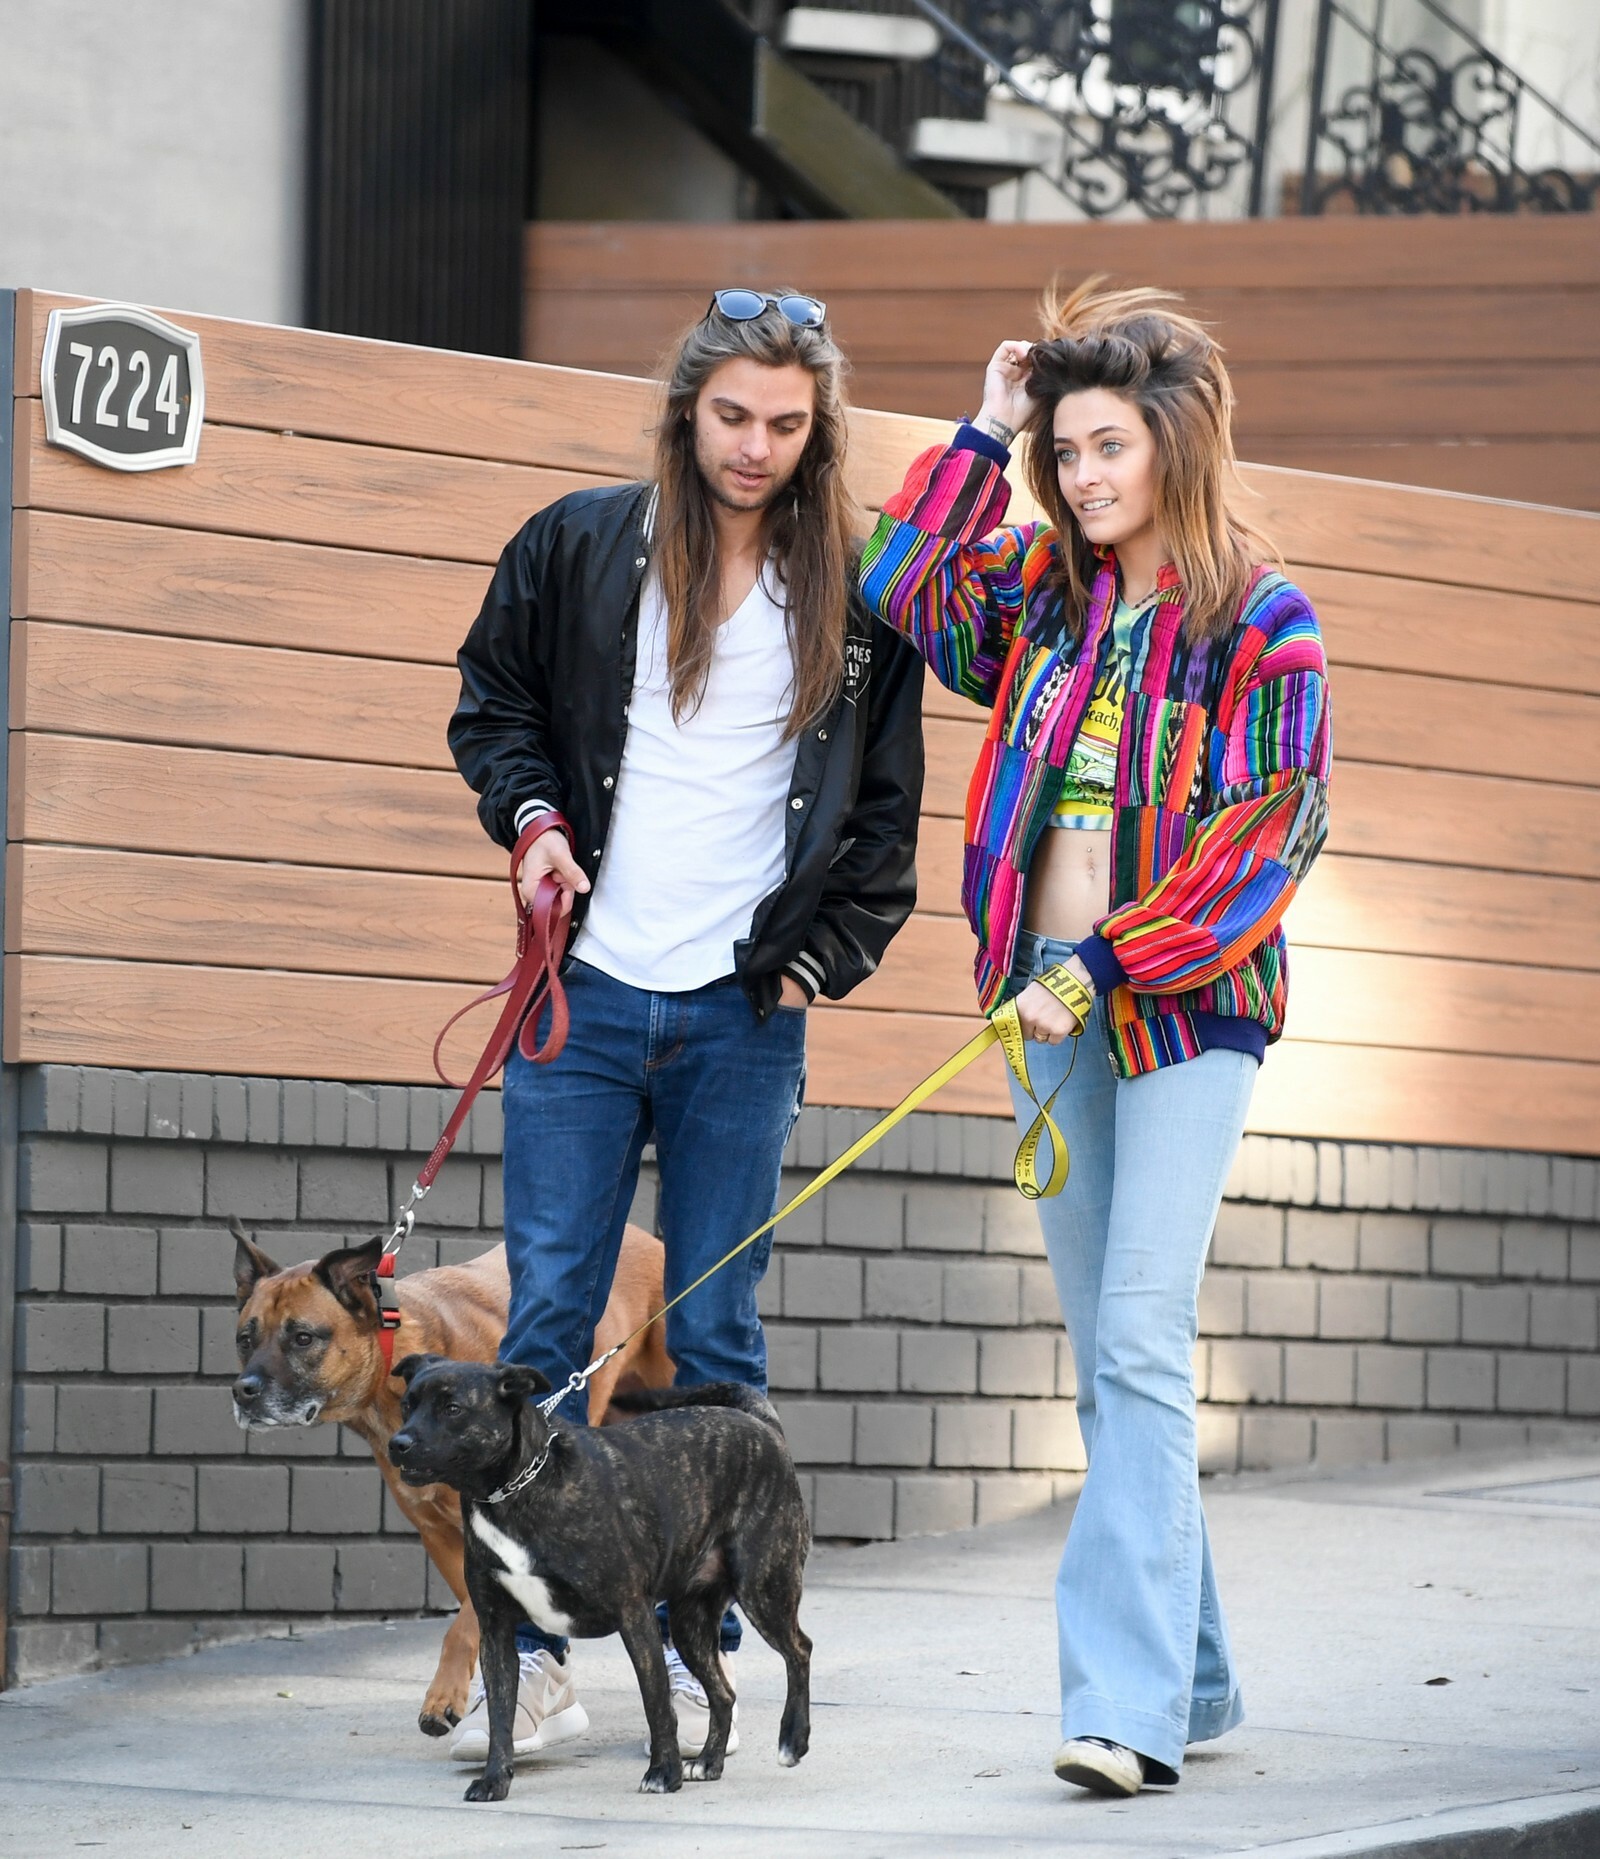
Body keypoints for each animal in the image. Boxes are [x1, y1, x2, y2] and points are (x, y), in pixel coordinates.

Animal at [230, 1219, 672, 1734]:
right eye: (244, 1338)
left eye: (302, 1338)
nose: (243, 1391)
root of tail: (647, 1236)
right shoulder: (439, 1534)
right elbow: (472, 1613)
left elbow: (462, 1623)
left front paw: (445, 1696)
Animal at [388, 1357, 812, 1801]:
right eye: (406, 1406)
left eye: (452, 1409)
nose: (398, 1443)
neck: (513, 1491)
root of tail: (763, 1426)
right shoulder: (496, 1632)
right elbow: (500, 1717)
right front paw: (494, 1779)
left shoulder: (635, 1617)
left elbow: (657, 1704)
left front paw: (664, 1772)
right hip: (690, 1624)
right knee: (724, 1693)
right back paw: (710, 1762)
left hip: (763, 1589)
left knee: (799, 1650)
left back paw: (792, 1740)